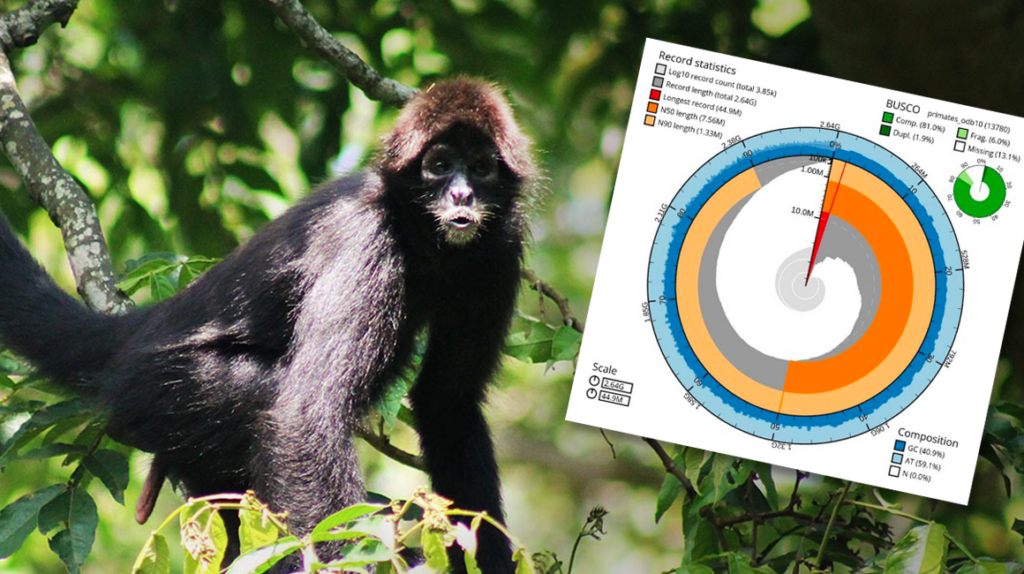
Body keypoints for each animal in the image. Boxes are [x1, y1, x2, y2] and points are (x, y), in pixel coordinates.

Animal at [0, 78, 538, 574]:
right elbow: (306, 412)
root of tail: (144, 327)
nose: (462, 194)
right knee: (265, 393)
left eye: (482, 168)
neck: (426, 240)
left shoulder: (498, 249)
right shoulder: (366, 234)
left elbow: (448, 401)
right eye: (440, 165)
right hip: (161, 388)